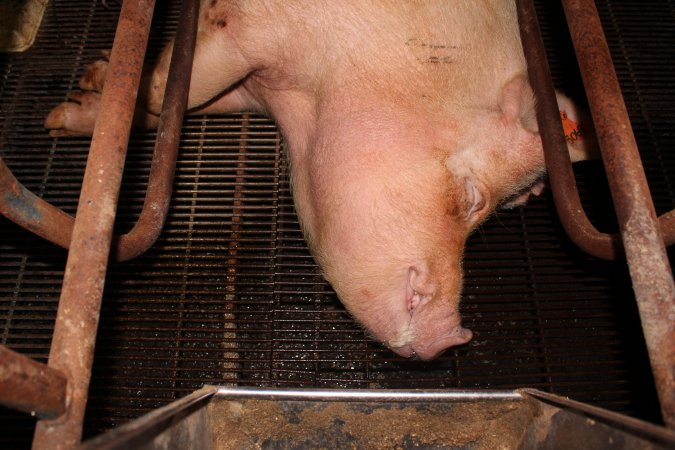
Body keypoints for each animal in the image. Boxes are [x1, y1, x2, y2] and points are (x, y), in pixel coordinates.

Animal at [43, 0, 596, 358]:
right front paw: (79, 98)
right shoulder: (258, 27)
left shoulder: (252, 85)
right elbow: (172, 92)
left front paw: (65, 112)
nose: (453, 338)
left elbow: (189, 103)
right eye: (471, 199)